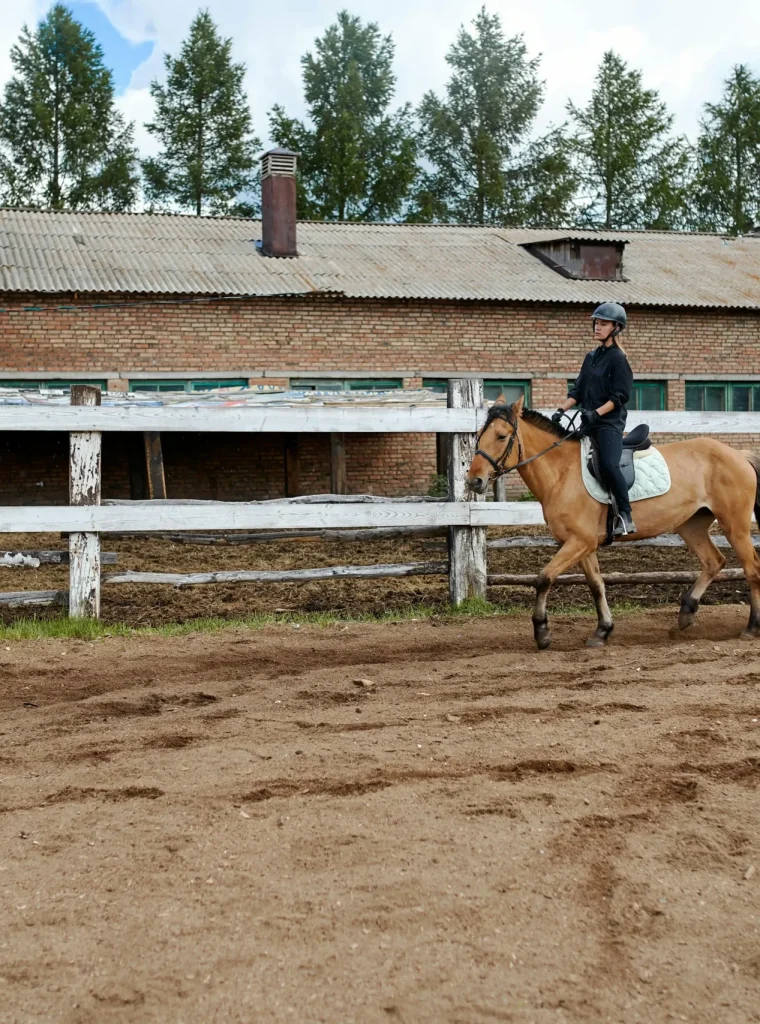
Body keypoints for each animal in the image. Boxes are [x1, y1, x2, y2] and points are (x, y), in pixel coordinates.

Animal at [466, 394, 760, 650]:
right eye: (479, 436)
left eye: (502, 436)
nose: (474, 481)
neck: (561, 472)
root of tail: (737, 454)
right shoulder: (583, 545)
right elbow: (597, 585)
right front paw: (602, 630)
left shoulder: (579, 542)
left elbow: (543, 578)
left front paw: (542, 633)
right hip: (691, 525)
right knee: (714, 561)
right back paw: (686, 613)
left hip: (734, 525)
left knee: (751, 568)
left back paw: (751, 627)